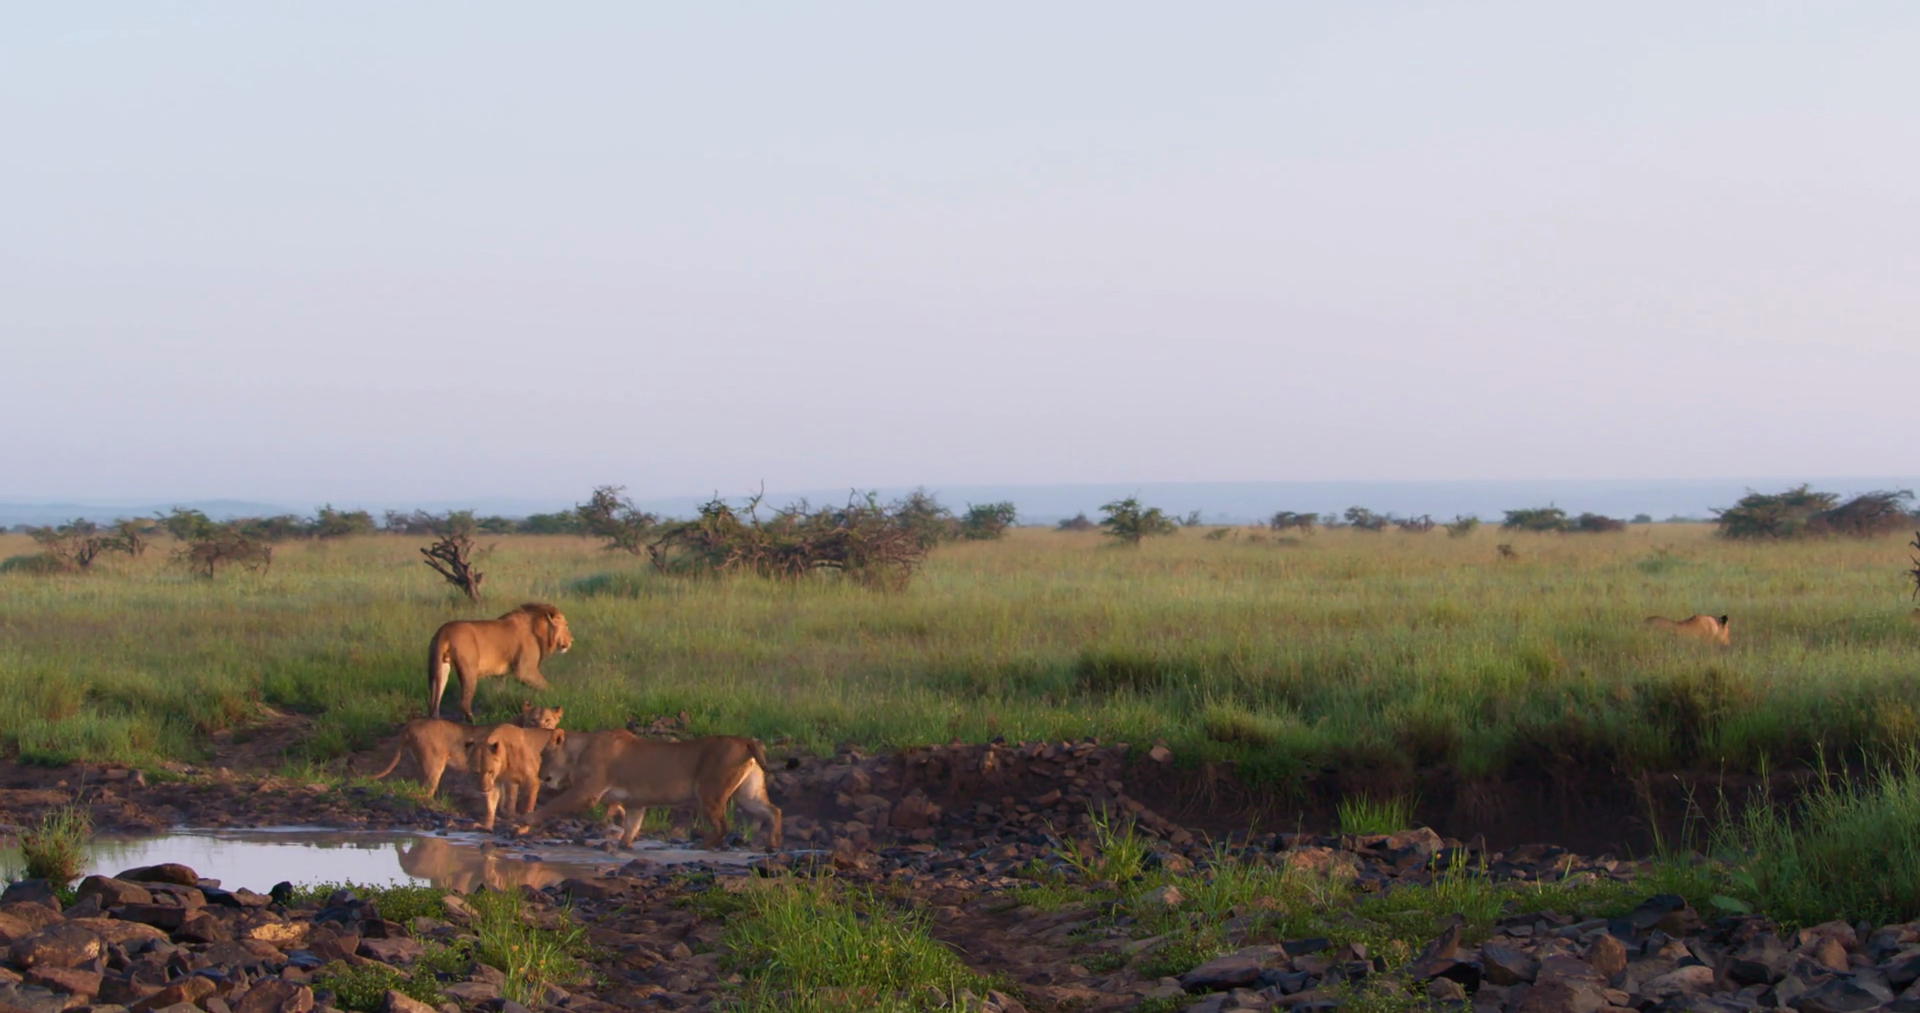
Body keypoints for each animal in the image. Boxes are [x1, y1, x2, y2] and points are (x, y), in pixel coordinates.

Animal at [366, 704, 562, 796]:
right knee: (426, 790)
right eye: (533, 720)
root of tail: (412, 723)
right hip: (434, 765)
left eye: (547, 721)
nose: (541, 729)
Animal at [427, 603, 572, 721]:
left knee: (434, 702)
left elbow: (499, 693)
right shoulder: (525, 670)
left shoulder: (499, 675)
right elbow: (547, 686)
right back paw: (475, 721)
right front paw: (556, 698)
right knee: (463, 703)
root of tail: (444, 631)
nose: (572, 640)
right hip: (469, 669)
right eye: (566, 625)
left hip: (441, 668)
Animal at [522, 730, 781, 850]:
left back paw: (701, 845)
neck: (580, 751)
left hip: (710, 791)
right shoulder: (635, 803)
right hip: (748, 794)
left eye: (543, 755)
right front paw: (623, 845)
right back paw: (774, 844)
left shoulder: (586, 794)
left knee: (723, 826)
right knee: (774, 811)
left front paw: (523, 822)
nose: (540, 776)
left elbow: (551, 805)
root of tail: (744, 739)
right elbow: (631, 826)